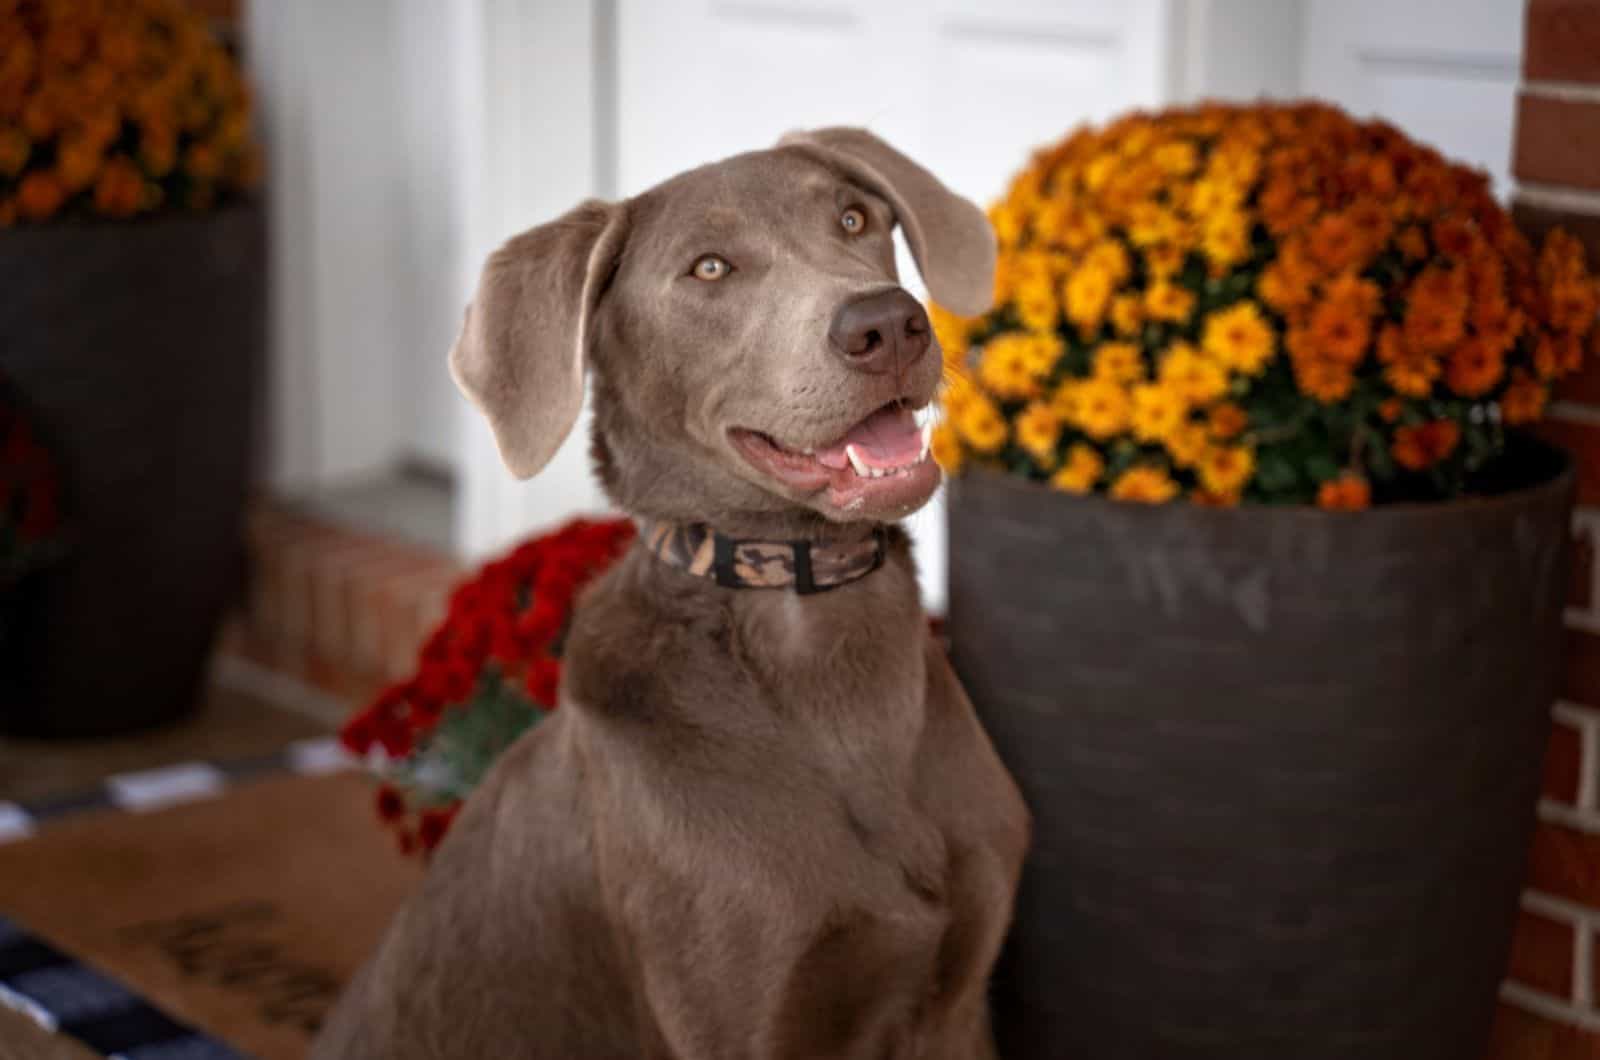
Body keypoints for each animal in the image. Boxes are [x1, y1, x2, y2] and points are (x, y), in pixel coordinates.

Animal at [313, 130, 1030, 1060]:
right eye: (710, 269)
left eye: (853, 218)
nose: (886, 324)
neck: (808, 619)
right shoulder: (741, 1017)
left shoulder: (957, 1006)